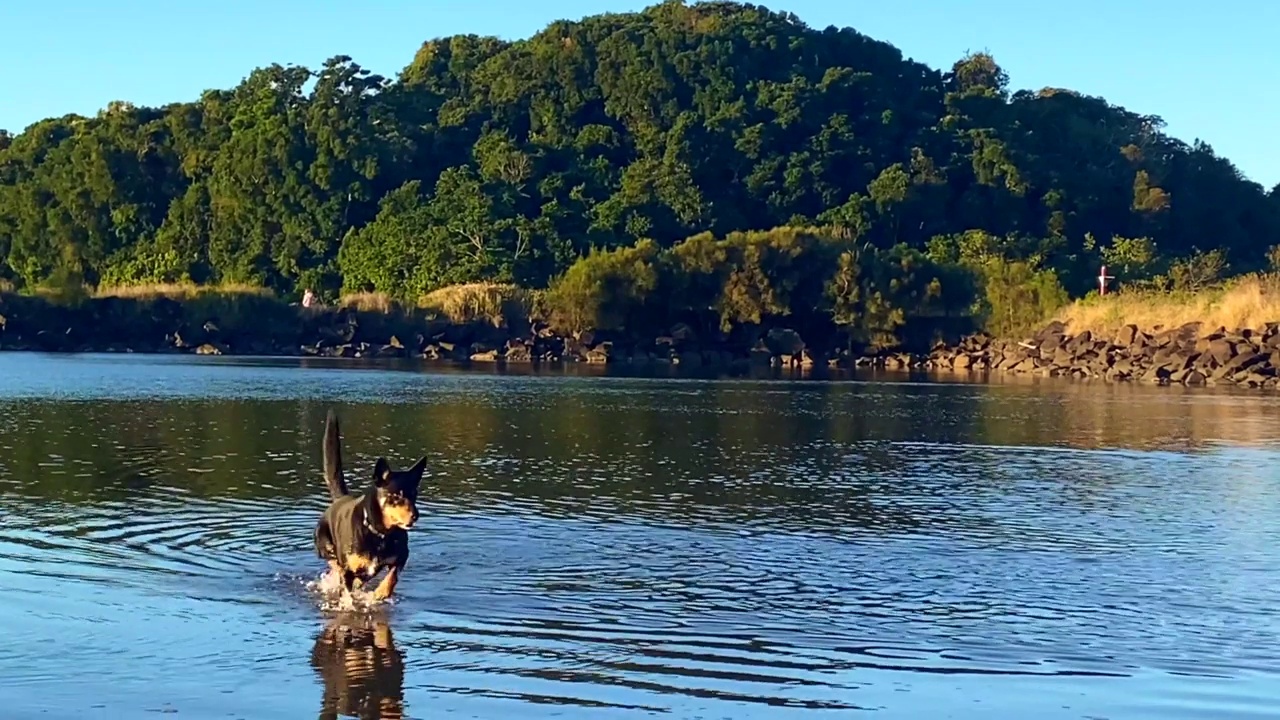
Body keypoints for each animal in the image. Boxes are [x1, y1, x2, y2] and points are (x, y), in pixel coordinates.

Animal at [312, 409, 427, 599]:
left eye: (414, 494)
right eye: (396, 496)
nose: (415, 516)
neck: (380, 534)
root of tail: (341, 498)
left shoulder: (402, 557)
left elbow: (392, 576)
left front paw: (381, 592)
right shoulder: (348, 570)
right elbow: (347, 591)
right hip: (323, 545)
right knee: (334, 564)